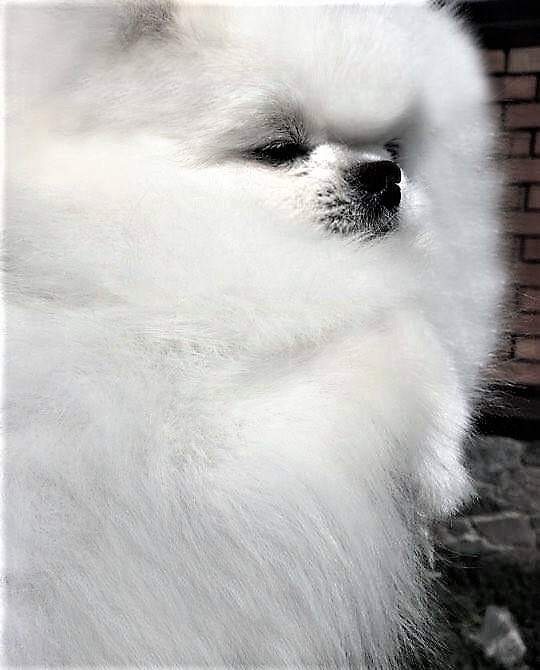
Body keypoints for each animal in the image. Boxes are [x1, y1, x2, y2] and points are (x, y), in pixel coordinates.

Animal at [3, 1, 505, 666]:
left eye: (395, 146)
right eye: (278, 148)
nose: (385, 175)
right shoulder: (209, 465)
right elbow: (396, 328)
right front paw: (443, 463)